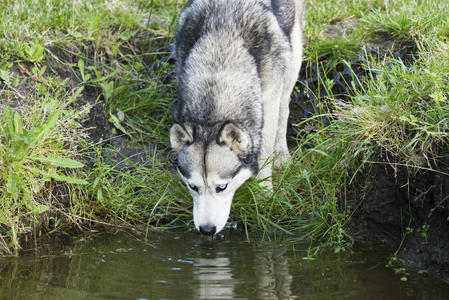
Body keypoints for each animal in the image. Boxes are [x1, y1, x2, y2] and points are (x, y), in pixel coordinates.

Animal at [169, 0, 304, 234]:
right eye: (192, 186)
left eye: (222, 187)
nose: (206, 230)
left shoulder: (269, 98)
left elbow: (264, 150)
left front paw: (264, 191)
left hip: (293, 53)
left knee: (284, 108)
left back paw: (281, 154)